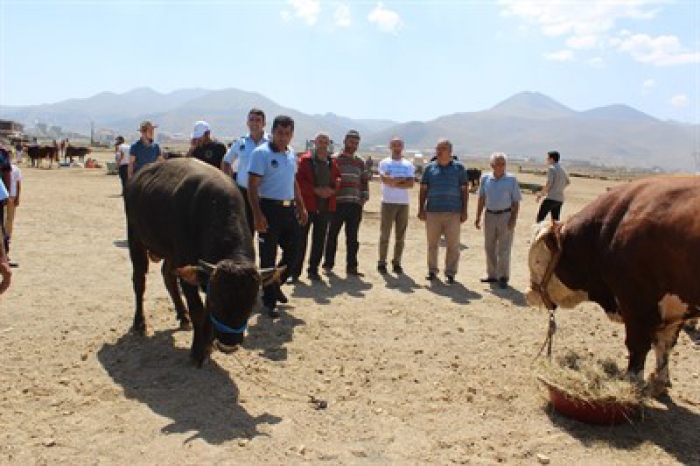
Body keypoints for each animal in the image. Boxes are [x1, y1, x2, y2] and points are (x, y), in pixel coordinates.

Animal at [528, 177, 700, 396]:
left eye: (536, 261)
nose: (529, 295)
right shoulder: (674, 310)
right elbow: (665, 344)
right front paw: (660, 382)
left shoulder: (637, 306)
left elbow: (638, 348)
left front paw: (631, 385)